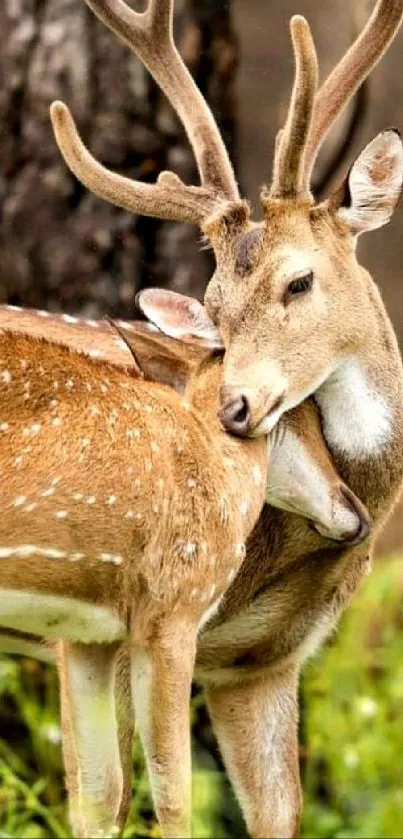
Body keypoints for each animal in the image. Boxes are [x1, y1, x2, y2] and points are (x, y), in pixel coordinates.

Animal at [0, 296, 372, 839]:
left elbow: (100, 796)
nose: (356, 512)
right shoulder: (173, 612)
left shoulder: (90, 636)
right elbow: (173, 793)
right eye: (303, 411)